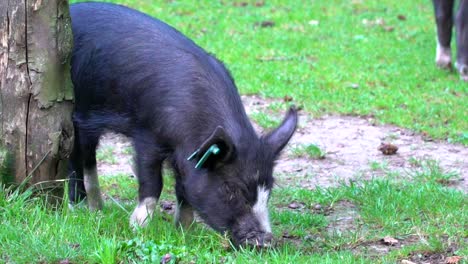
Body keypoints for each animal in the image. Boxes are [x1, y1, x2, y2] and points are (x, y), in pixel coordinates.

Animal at [69, 1, 296, 248]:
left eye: (268, 190)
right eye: (231, 188)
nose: (266, 240)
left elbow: (184, 188)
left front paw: (184, 232)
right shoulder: (147, 135)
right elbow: (152, 182)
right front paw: (138, 228)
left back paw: (97, 209)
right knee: (79, 157)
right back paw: (80, 208)